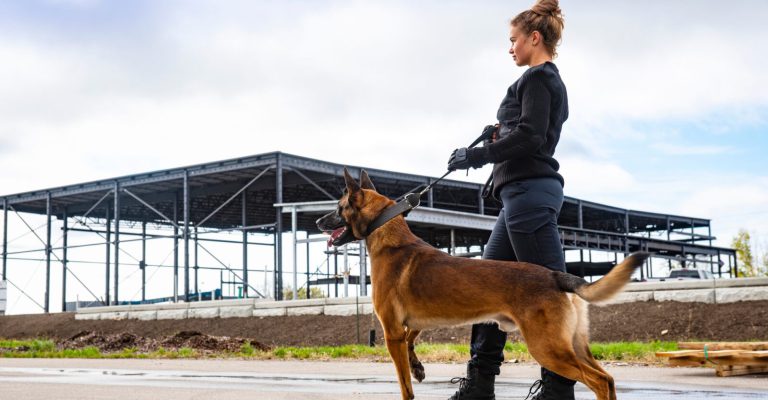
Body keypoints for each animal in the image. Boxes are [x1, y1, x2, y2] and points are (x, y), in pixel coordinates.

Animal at [316, 169, 648, 400]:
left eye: (339, 206)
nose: (318, 221)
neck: (389, 233)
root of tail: (555, 275)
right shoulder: (410, 325)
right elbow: (412, 341)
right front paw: (418, 366)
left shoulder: (391, 332)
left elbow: (405, 386)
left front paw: (412, 373)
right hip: (574, 346)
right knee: (607, 378)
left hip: (548, 347)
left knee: (598, 382)